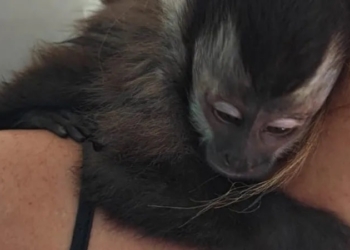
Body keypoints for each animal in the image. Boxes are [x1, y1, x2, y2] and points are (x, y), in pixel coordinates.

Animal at [0, 0, 350, 249]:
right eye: (226, 116)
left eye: (278, 130)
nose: (239, 159)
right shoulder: (156, 77)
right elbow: (110, 171)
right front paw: (320, 235)